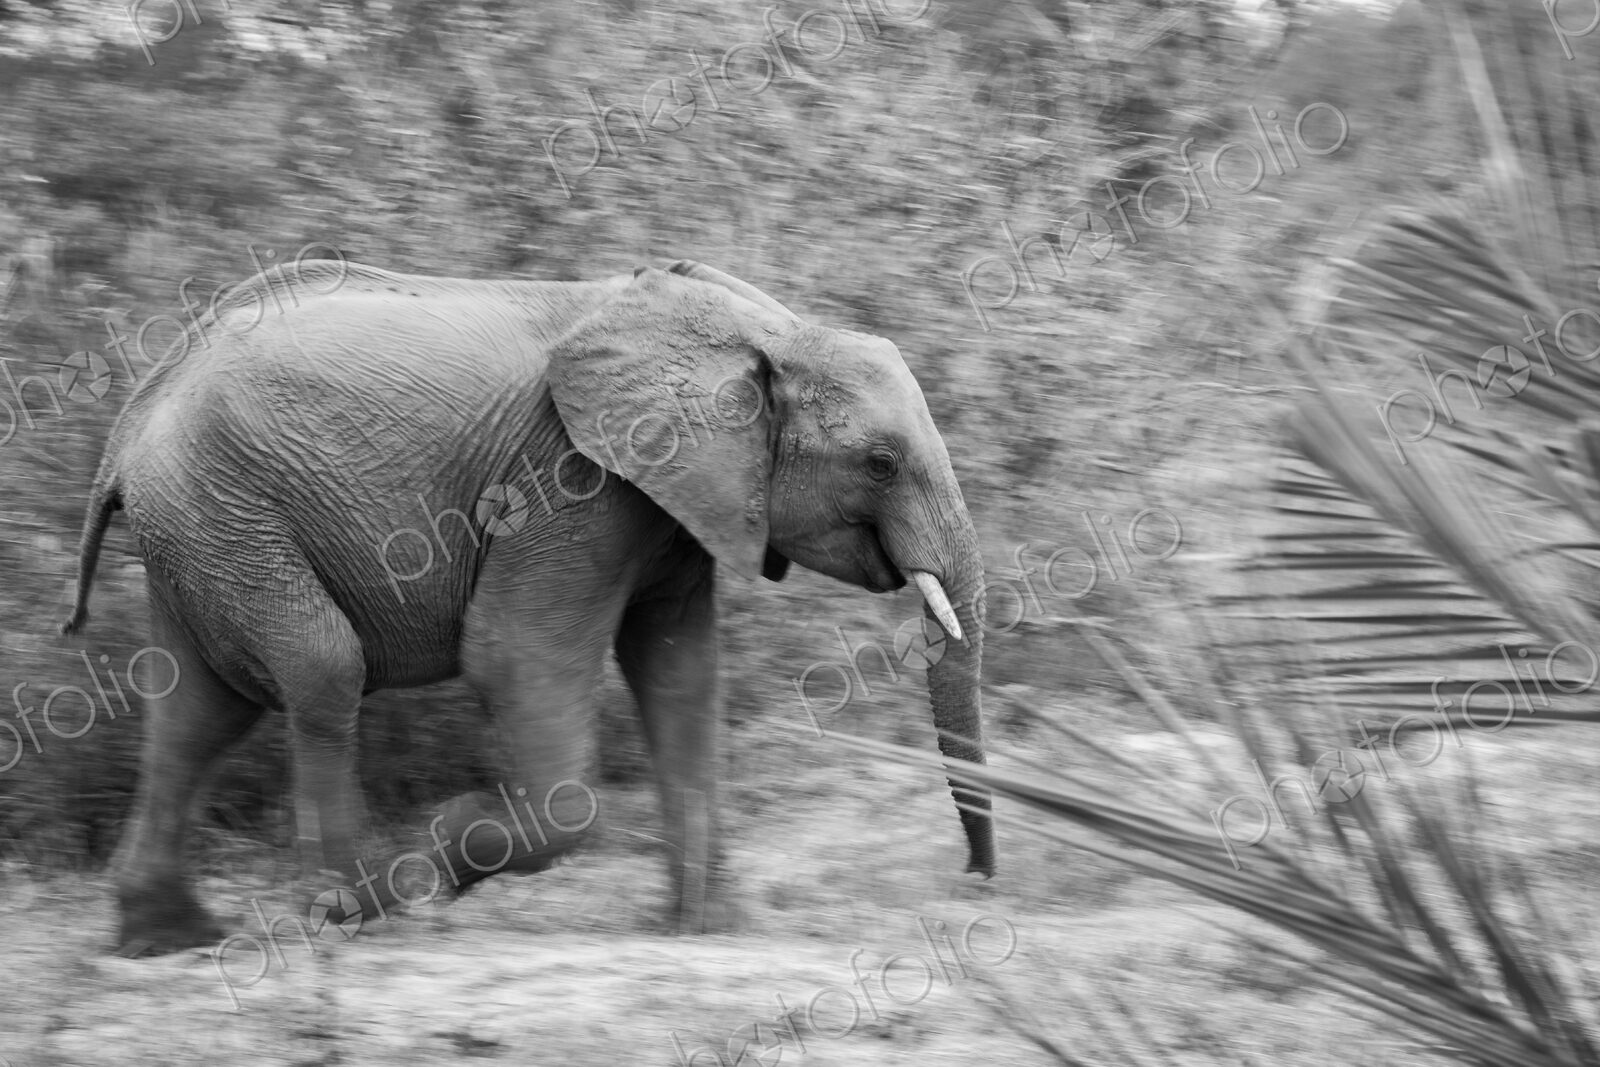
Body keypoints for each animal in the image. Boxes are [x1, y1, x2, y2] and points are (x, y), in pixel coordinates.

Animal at [62, 257, 994, 957]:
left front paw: (708, 929)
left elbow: (681, 678)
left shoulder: (673, 501)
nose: (975, 882)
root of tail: (137, 410)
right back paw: (359, 906)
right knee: (321, 672)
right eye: (880, 463)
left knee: (196, 712)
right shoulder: (573, 484)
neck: (770, 332)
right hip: (228, 509)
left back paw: (169, 936)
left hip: (201, 524)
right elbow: (514, 657)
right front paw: (443, 847)